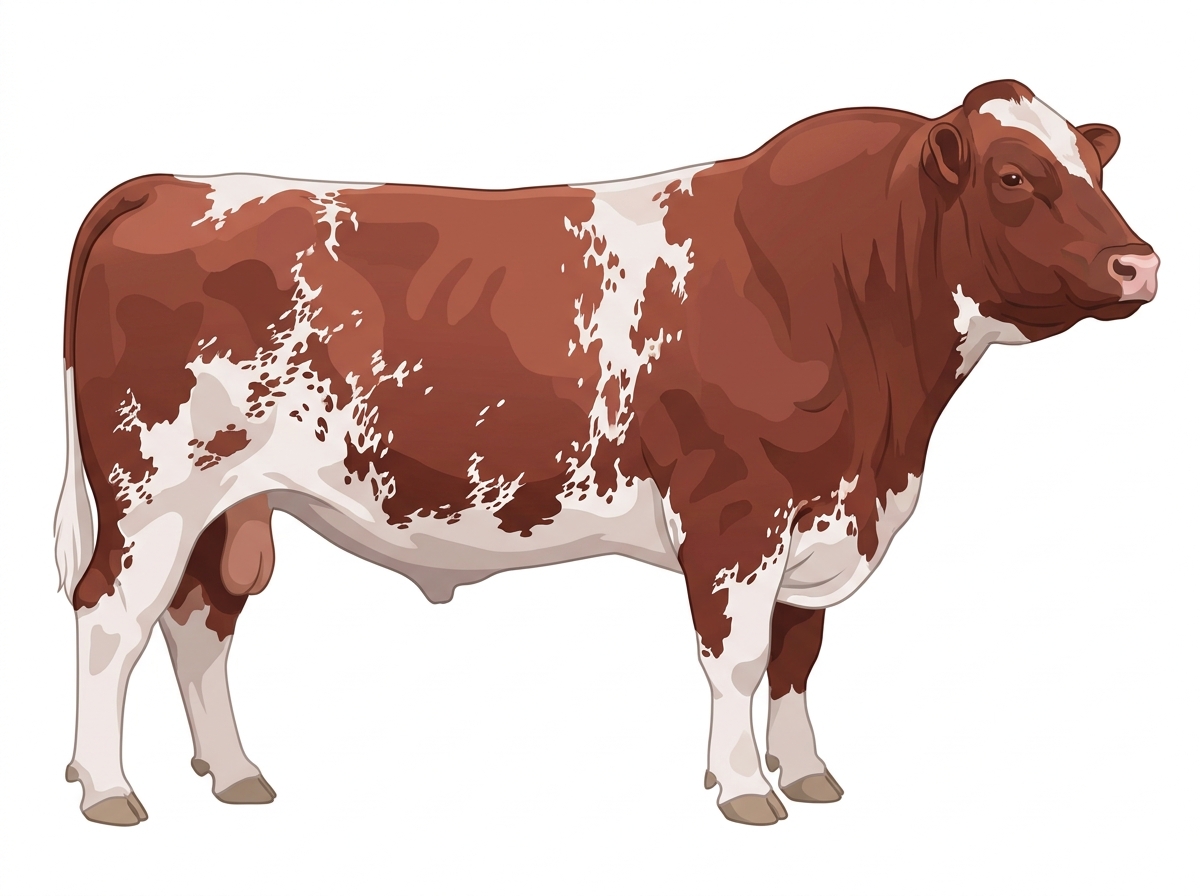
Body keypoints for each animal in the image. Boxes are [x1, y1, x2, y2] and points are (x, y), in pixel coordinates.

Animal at [55, 80, 1158, 826]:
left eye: (1096, 166)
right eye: (1012, 175)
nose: (1139, 262)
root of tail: (168, 183)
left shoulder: (822, 510)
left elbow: (799, 654)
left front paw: (808, 775)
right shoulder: (737, 513)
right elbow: (741, 656)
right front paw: (745, 789)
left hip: (226, 504)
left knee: (202, 623)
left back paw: (238, 775)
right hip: (153, 492)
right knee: (111, 619)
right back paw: (108, 788)